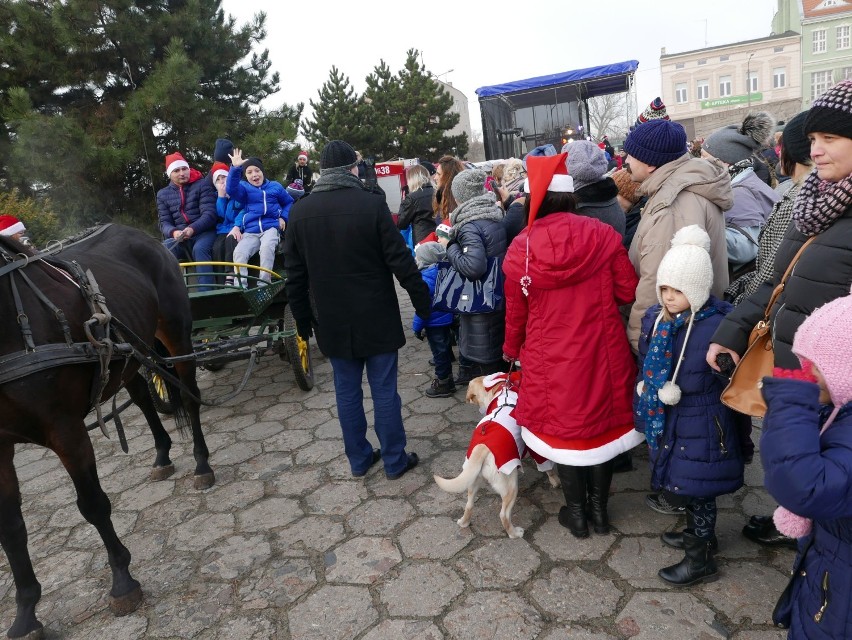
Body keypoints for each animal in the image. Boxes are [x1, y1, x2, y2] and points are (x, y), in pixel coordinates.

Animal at [0, 224, 213, 636]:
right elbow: (12, 530)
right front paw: (26, 613)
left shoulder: (66, 429)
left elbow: (93, 505)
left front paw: (122, 582)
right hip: (128, 351)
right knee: (143, 395)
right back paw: (162, 455)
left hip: (175, 330)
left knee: (188, 394)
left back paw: (201, 464)